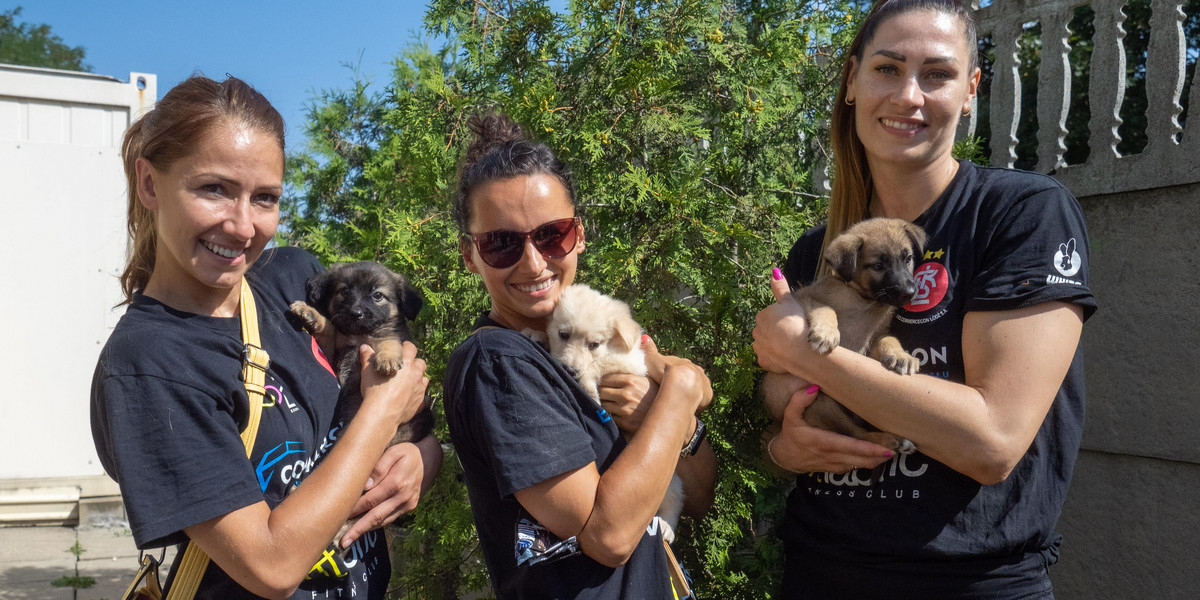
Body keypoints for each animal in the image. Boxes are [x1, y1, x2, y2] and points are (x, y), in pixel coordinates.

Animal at [288, 260, 434, 549]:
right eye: (344, 292)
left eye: (377, 295)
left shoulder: (394, 339)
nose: (356, 313)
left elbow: (389, 341)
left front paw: (386, 359)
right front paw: (311, 314)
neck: (360, 336)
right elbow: (330, 328)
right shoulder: (335, 351)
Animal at [525, 284, 686, 544]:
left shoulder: (632, 364)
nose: (570, 370)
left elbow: (599, 364)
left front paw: (587, 384)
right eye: (563, 335)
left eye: (594, 344)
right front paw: (534, 334)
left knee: (674, 503)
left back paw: (667, 528)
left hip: (670, 481)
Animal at [768, 219, 926, 453]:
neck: (864, 301)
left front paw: (902, 357)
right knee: (855, 434)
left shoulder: (874, 338)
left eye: (907, 259)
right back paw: (888, 439)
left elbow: (889, 339)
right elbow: (826, 308)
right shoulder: (805, 298)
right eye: (877, 266)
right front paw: (827, 334)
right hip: (821, 404)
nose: (909, 293)